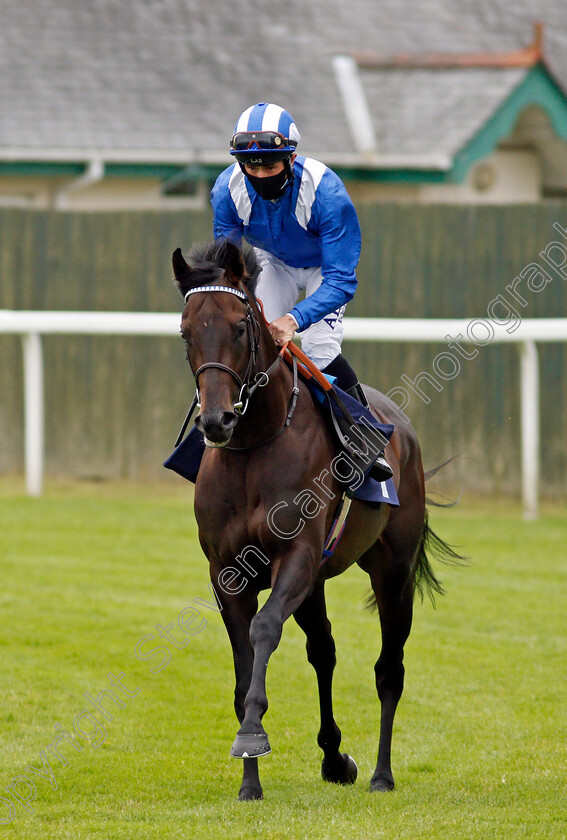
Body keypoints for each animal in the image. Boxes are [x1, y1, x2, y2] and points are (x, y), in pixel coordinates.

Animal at [172, 238, 458, 800]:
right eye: (186, 330)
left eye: (240, 326)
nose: (217, 420)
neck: (255, 443)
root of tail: (402, 425)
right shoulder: (227, 573)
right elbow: (244, 670)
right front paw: (250, 781)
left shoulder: (297, 557)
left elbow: (263, 630)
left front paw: (253, 737)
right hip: (318, 582)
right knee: (323, 650)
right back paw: (334, 757)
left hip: (392, 573)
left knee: (389, 669)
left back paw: (381, 773)